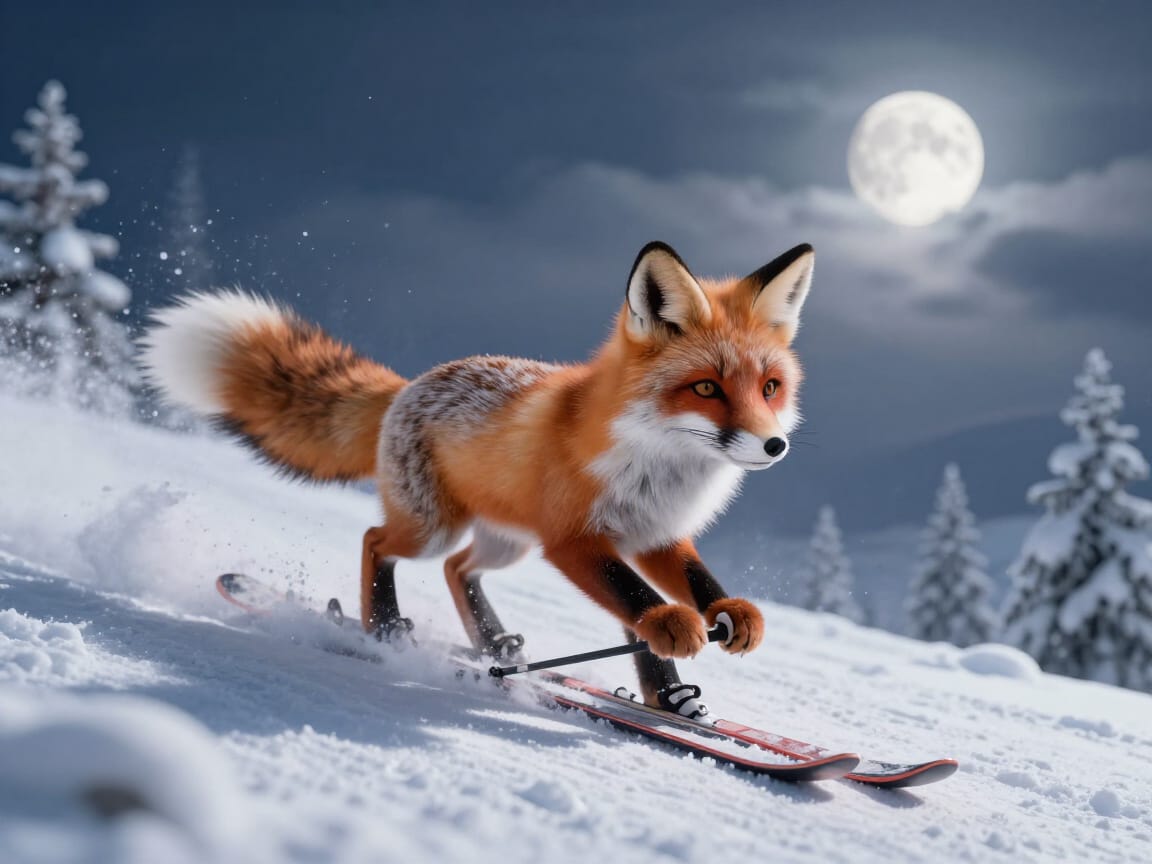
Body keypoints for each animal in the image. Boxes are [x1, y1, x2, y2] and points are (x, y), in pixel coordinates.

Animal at [140, 240, 815, 712]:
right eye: (705, 389)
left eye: (769, 387)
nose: (774, 444)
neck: (660, 466)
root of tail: (407, 385)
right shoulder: (575, 540)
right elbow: (637, 600)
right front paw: (675, 632)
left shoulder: (654, 536)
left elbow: (676, 595)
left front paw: (683, 686)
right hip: (435, 527)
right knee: (378, 542)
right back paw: (384, 630)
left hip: (504, 543)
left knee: (457, 569)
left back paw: (492, 648)